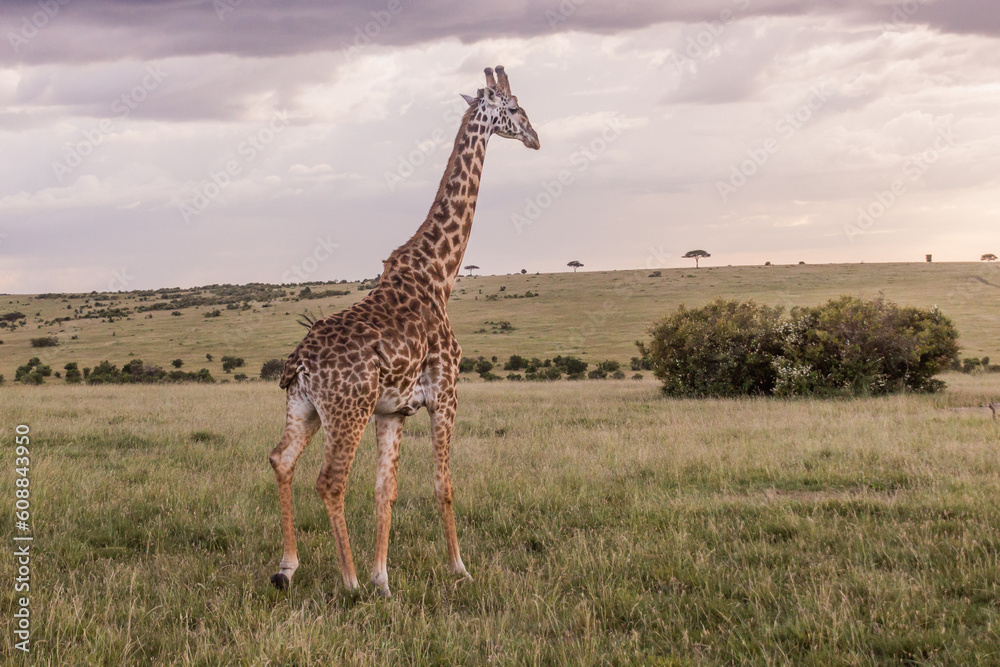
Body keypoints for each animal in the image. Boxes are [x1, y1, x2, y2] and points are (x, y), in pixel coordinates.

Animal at [268, 65, 539, 598]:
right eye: (515, 108)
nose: (536, 138)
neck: (439, 273)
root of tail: (301, 364)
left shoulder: (393, 411)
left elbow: (385, 489)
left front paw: (383, 579)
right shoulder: (446, 392)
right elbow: (443, 483)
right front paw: (458, 568)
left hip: (303, 408)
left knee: (282, 460)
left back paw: (289, 568)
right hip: (346, 410)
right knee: (329, 481)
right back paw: (348, 581)